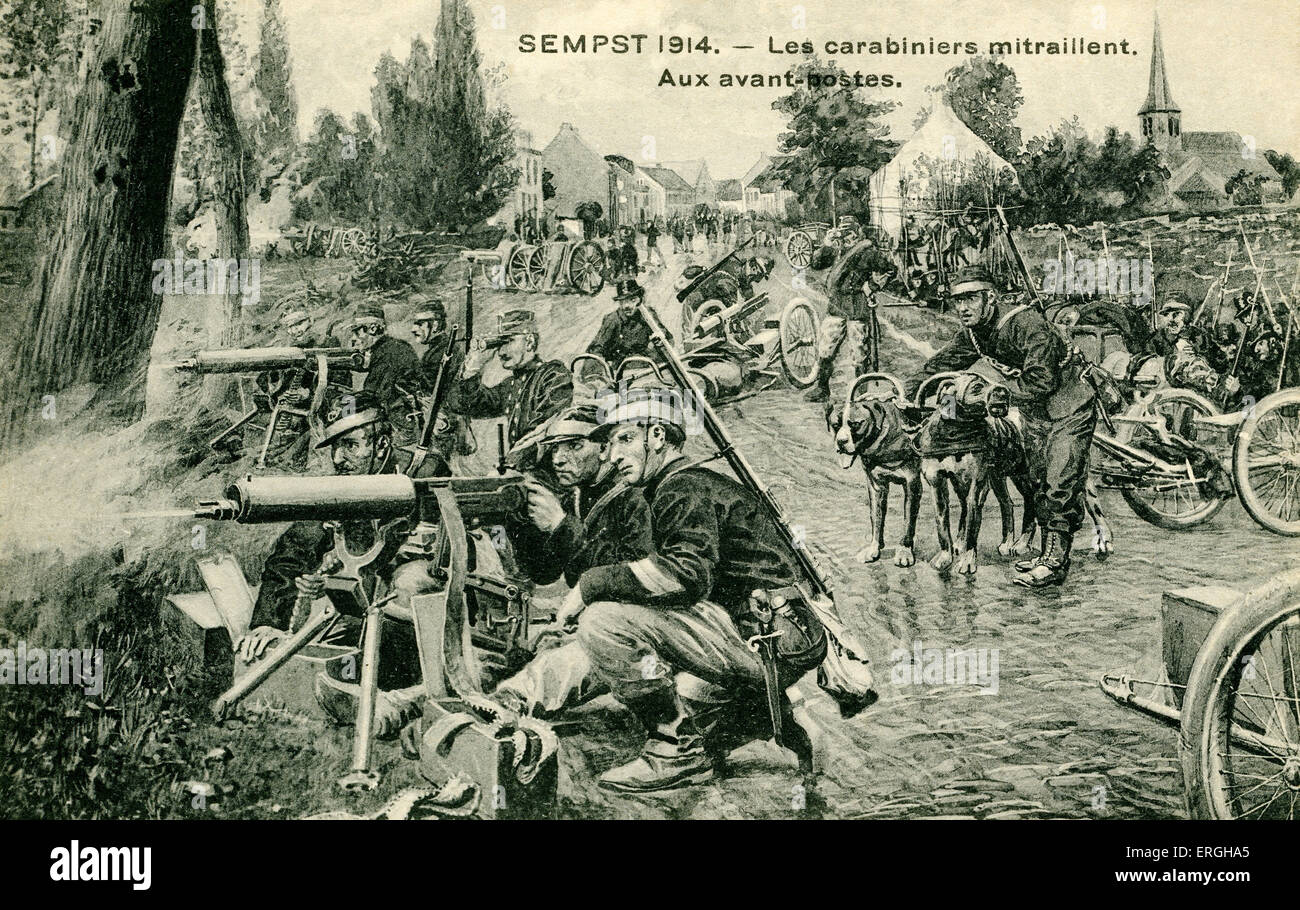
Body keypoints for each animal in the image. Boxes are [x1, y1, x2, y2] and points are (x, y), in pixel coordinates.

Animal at [821, 374, 925, 561]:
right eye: (835, 425)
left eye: (855, 424)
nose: (841, 441)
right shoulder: (876, 486)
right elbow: (876, 518)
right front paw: (874, 548)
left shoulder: (912, 485)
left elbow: (908, 521)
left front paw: (904, 551)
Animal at [915, 371, 1034, 574]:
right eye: (977, 386)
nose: (1004, 391)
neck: (955, 432)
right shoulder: (937, 484)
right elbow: (942, 525)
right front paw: (945, 556)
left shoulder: (976, 485)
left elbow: (972, 525)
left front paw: (967, 560)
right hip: (994, 478)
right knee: (1006, 503)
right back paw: (1005, 542)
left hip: (1021, 474)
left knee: (1032, 500)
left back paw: (1021, 544)